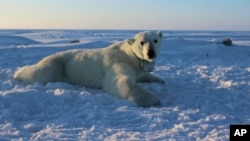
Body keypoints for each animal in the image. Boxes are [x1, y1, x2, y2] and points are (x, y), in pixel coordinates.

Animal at [13, 31, 164, 107]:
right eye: (142, 42)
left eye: (155, 40)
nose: (150, 53)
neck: (128, 55)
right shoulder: (117, 62)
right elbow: (120, 81)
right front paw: (153, 100)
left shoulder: (136, 67)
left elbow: (142, 75)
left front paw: (160, 80)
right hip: (57, 66)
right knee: (39, 73)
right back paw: (17, 73)